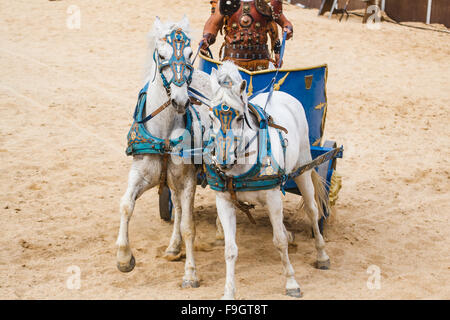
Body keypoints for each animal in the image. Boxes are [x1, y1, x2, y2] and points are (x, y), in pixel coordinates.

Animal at [118, 16, 213, 288]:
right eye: (161, 55)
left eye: (190, 53)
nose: (181, 101)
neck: (164, 134)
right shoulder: (140, 173)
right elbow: (126, 205)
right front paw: (124, 258)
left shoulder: (189, 179)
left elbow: (189, 226)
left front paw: (191, 274)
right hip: (171, 180)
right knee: (178, 209)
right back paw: (172, 248)